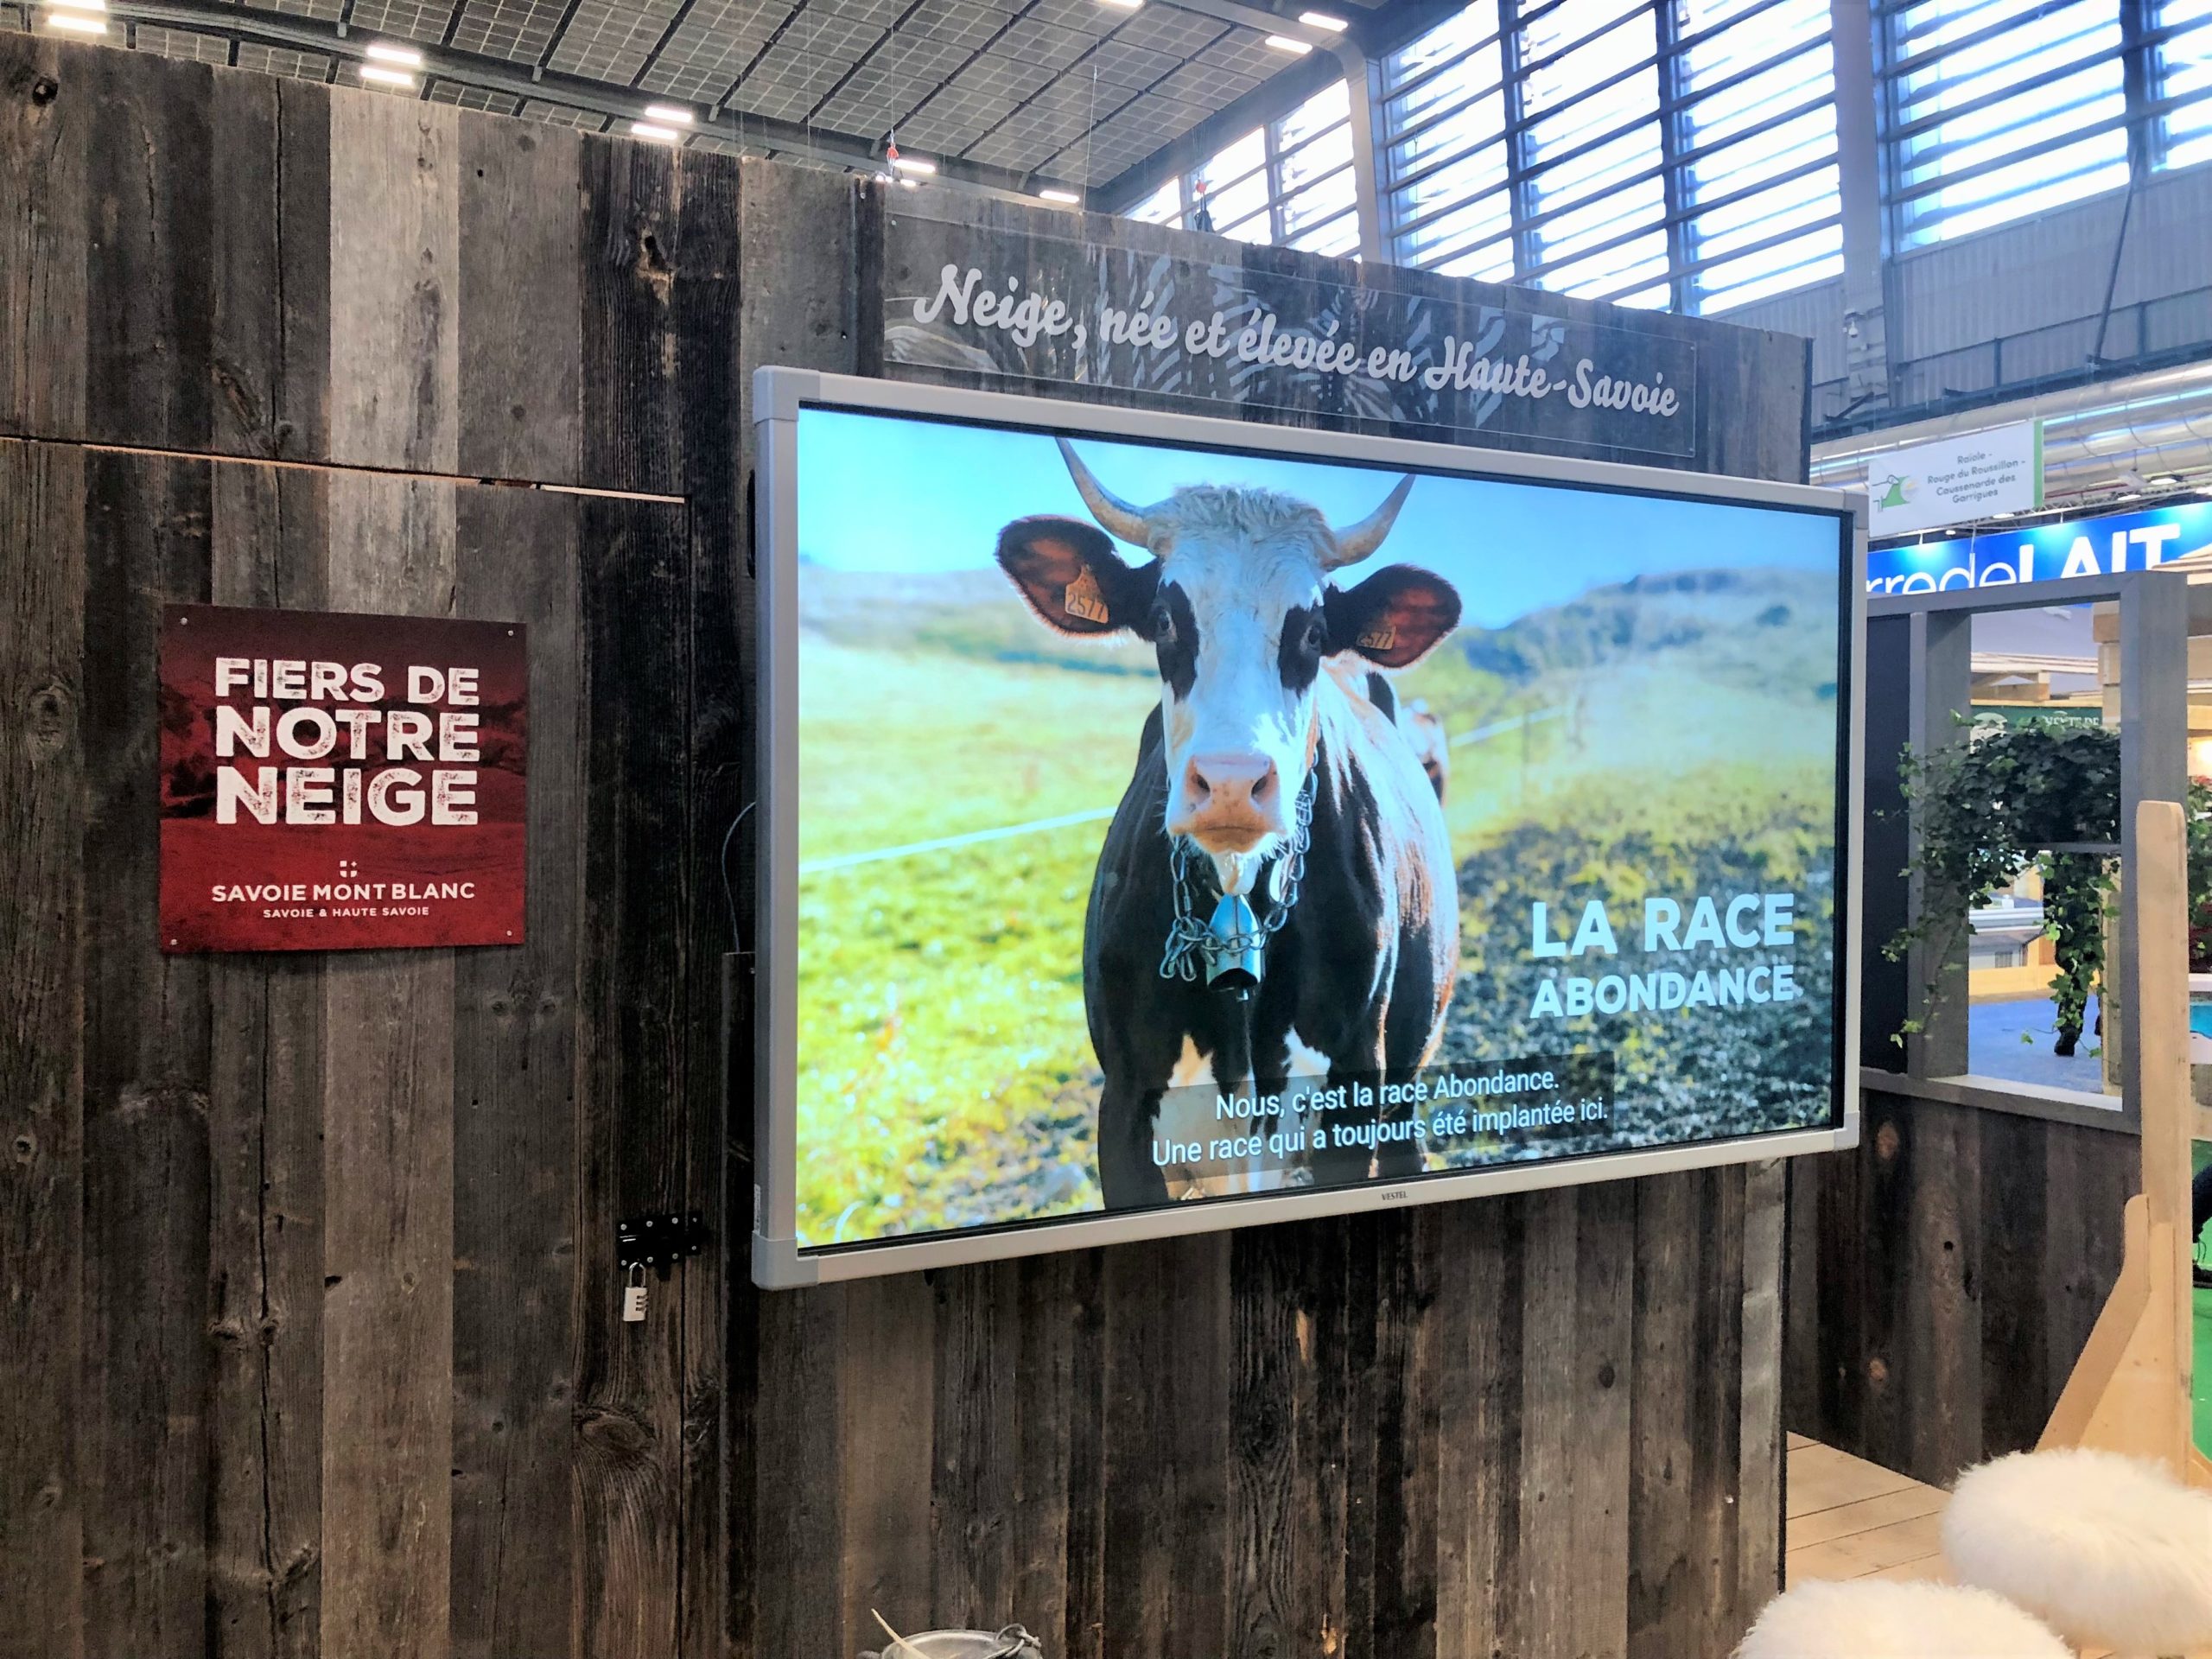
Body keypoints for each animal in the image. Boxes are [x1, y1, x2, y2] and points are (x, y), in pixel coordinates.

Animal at [995, 444, 1459, 1211]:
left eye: (1311, 631)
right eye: (1162, 618)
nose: (1232, 785)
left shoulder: (1353, 1086)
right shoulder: (1125, 1107)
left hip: (1403, 1077)